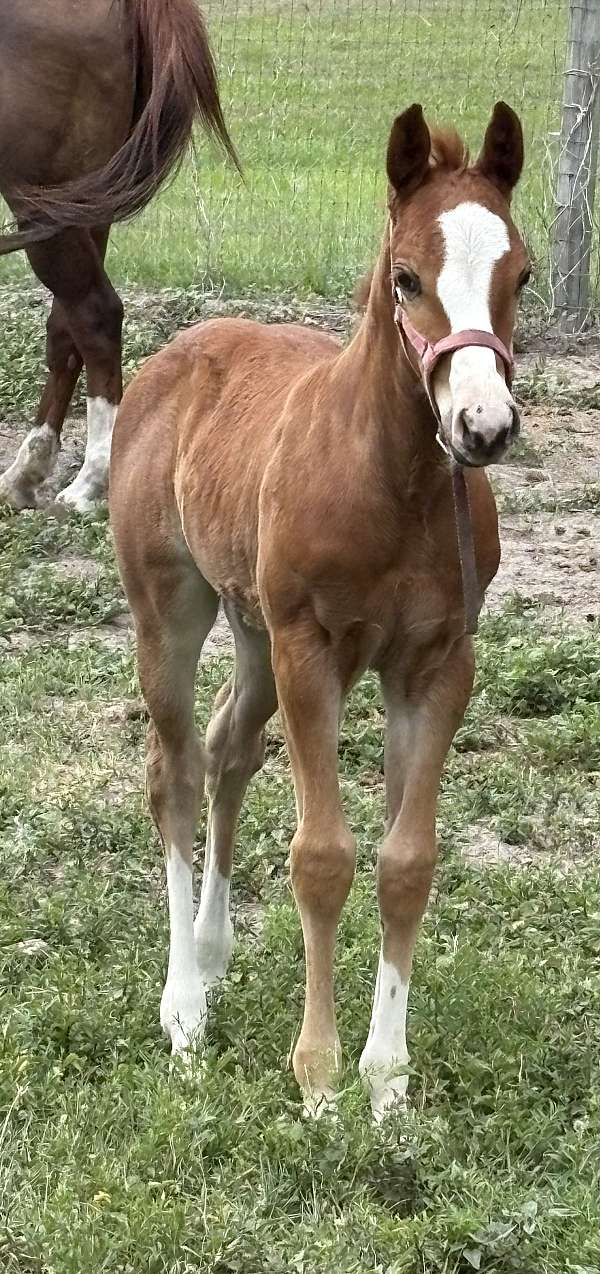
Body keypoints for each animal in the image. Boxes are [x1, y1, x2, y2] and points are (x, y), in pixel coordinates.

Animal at [0, 0, 236, 513]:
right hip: (88, 203)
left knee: (94, 315)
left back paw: (92, 479)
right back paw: (27, 472)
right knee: (69, 324)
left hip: (48, 199)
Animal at [110, 102, 529, 1120]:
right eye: (407, 277)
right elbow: (323, 857)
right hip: (174, 611)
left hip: (254, 628)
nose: (484, 426)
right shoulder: (313, 652)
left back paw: (213, 954)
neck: (394, 484)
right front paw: (320, 1076)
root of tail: (177, 352)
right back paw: (184, 1008)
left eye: (523, 275)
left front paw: (388, 1081)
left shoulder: (437, 664)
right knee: (174, 774)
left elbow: (406, 862)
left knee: (229, 747)